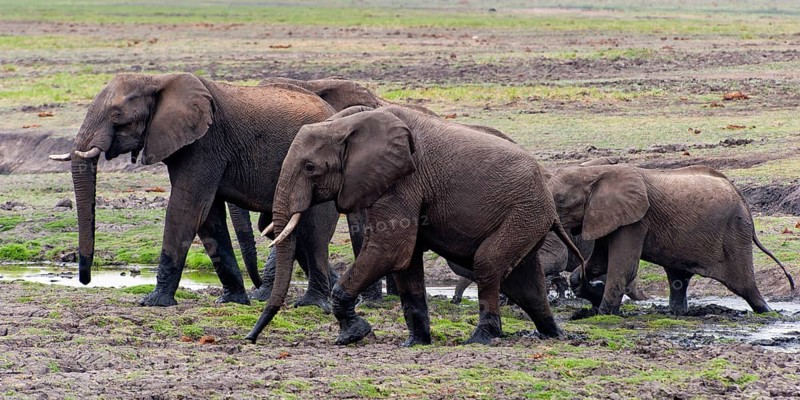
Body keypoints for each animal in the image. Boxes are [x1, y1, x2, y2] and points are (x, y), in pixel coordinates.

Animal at [48, 73, 345, 309]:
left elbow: (187, 209)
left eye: (117, 115)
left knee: (313, 232)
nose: (85, 279)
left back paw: (312, 304)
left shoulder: (205, 143)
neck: (157, 80)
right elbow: (208, 216)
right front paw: (232, 301)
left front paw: (153, 302)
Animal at [246, 105, 583, 346]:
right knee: (525, 283)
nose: (250, 339)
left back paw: (482, 340)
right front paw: (415, 343)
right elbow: (406, 263)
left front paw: (353, 334)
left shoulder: (403, 180)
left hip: (524, 211)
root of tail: (547, 194)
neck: (347, 124)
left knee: (488, 264)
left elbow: (390, 251)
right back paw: (555, 336)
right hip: (527, 217)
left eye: (310, 168)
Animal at [546, 162, 796, 316]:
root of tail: (743, 198)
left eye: (560, 200)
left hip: (736, 232)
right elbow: (599, 262)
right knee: (678, 279)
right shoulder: (605, 217)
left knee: (745, 285)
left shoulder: (635, 221)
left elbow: (623, 267)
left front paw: (602, 313)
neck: (596, 173)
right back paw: (678, 313)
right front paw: (590, 295)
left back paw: (768, 312)